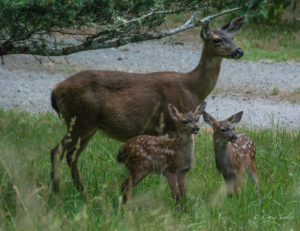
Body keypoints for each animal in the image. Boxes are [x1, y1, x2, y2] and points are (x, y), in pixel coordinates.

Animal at [50, 16, 245, 193]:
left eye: (232, 38)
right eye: (216, 40)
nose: (239, 51)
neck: (192, 88)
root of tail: (56, 89)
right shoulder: (171, 124)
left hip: (87, 125)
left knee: (71, 156)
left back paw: (81, 191)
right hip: (80, 120)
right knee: (57, 151)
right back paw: (57, 191)